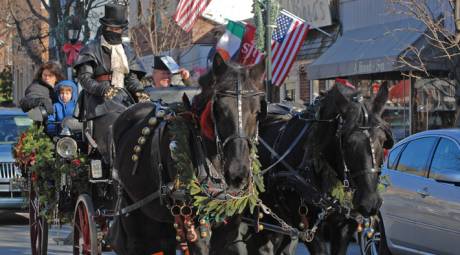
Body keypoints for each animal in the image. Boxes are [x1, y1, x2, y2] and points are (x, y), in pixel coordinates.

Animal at [108, 55, 266, 255]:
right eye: (219, 110)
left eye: (258, 112)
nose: (237, 172)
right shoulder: (195, 227)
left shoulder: (229, 227)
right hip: (132, 212)